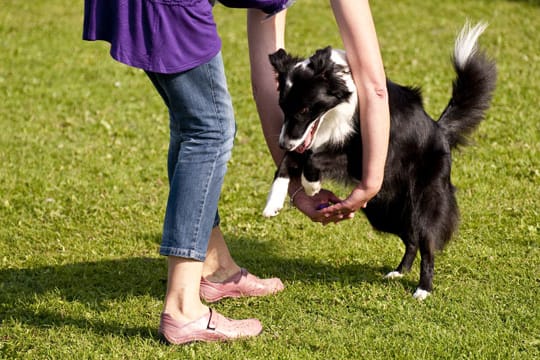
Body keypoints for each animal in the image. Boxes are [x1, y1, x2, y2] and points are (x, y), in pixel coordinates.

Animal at [264, 21, 496, 298]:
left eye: (305, 109)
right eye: (283, 107)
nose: (282, 143)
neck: (340, 108)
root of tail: (440, 130)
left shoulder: (362, 157)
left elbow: (313, 158)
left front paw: (312, 186)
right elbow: (290, 160)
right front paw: (273, 202)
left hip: (425, 201)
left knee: (427, 243)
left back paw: (423, 289)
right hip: (383, 209)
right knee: (411, 238)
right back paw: (399, 271)